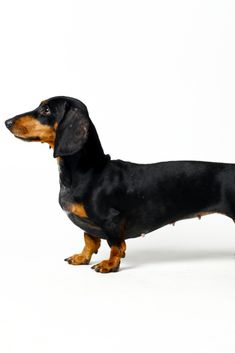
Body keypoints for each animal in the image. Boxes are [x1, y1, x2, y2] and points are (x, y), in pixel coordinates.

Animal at [4, 95, 235, 272]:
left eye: (46, 109)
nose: (7, 122)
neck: (90, 171)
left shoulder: (111, 220)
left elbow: (115, 245)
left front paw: (109, 264)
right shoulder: (89, 223)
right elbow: (89, 240)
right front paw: (82, 257)